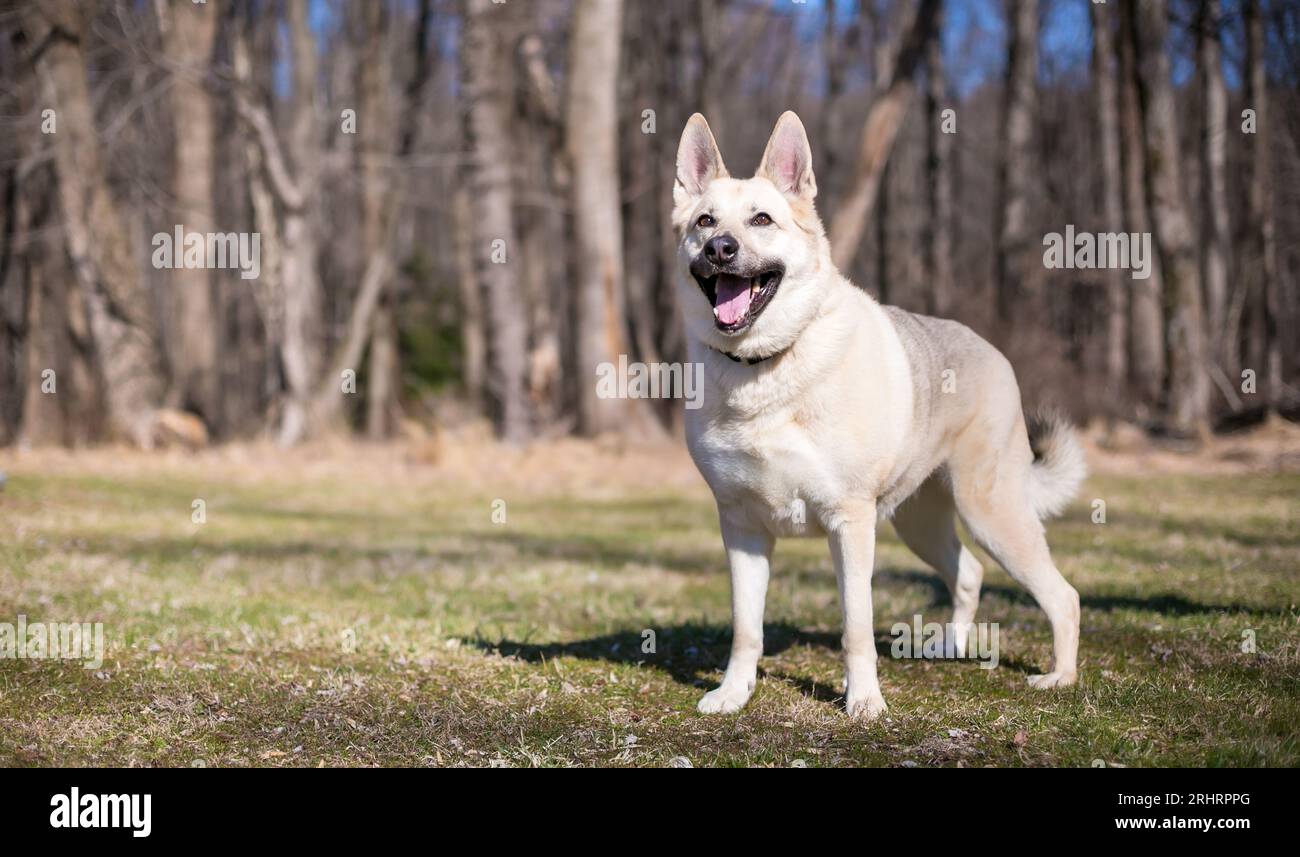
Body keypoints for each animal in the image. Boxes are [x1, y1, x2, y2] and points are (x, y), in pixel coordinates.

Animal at [670, 112, 1086, 717]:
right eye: (704, 221)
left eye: (761, 220)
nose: (720, 249)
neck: (765, 367)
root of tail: (993, 351)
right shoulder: (741, 529)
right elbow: (746, 628)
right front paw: (734, 692)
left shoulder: (849, 524)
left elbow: (856, 627)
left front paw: (863, 701)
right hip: (919, 523)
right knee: (969, 572)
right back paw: (952, 647)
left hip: (992, 513)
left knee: (1064, 596)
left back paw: (1060, 677)